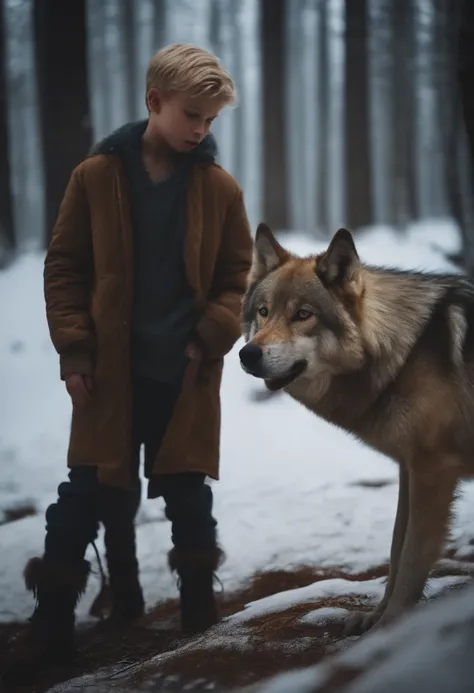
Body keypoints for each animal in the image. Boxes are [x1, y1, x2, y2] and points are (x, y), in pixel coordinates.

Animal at [239, 224, 474, 636]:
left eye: (303, 314)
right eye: (263, 312)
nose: (247, 354)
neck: (405, 352)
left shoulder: (434, 470)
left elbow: (413, 555)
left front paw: (390, 628)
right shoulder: (409, 468)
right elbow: (397, 549)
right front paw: (375, 617)